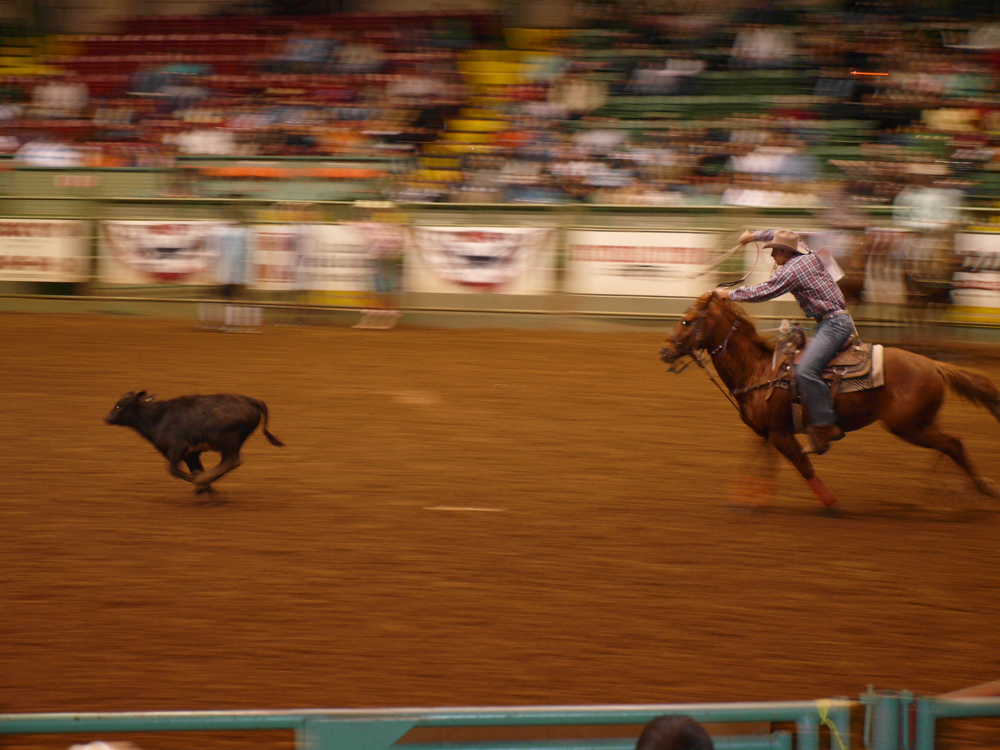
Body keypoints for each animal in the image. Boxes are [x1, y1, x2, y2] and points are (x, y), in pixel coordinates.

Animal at [656, 294, 1000, 512]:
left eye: (687, 321)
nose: (664, 350)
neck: (760, 369)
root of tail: (933, 365)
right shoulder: (765, 432)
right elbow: (759, 462)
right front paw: (747, 498)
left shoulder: (782, 434)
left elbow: (803, 465)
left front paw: (831, 502)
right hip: (922, 423)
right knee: (948, 445)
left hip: (909, 426)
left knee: (953, 444)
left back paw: (982, 489)